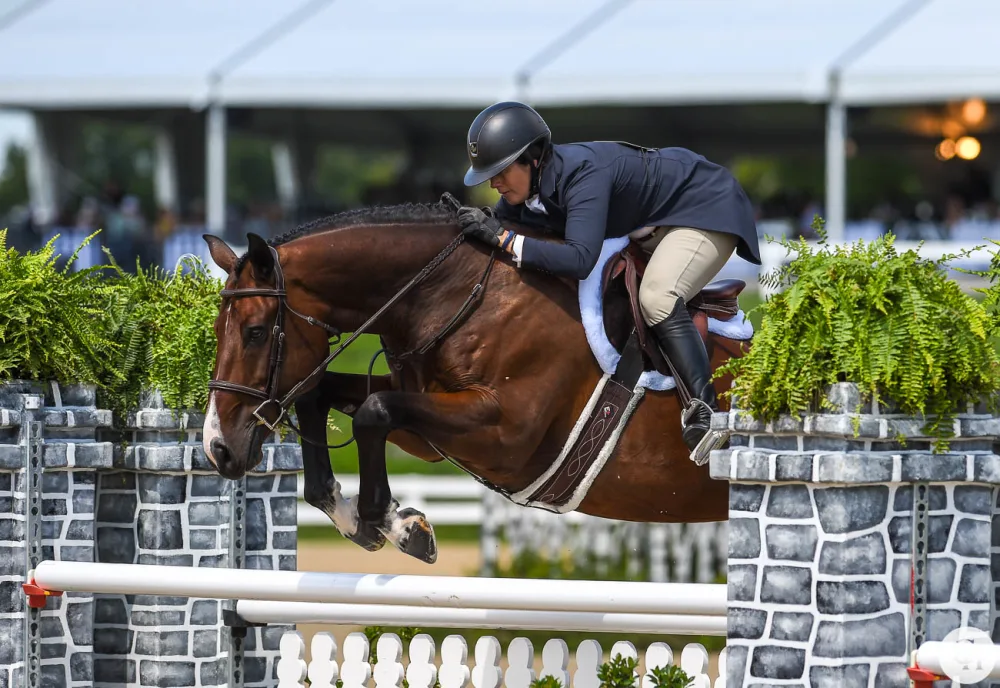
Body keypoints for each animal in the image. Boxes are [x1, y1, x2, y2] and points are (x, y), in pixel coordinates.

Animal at [201, 199, 752, 564]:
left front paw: (392, 522)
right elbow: (326, 397)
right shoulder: (428, 428)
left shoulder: (506, 435)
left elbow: (374, 412)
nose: (217, 450)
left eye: (254, 332)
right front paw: (363, 519)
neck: (454, 291)